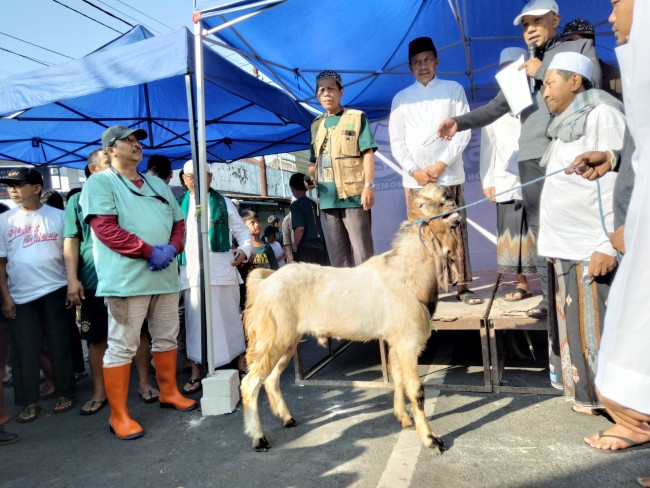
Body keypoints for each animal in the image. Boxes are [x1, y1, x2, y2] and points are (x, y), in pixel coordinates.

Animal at [240, 183, 458, 454]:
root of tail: (264, 283)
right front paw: (431, 439)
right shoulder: (407, 342)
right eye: (424, 203)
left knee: (270, 379)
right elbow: (416, 390)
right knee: (250, 384)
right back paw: (259, 438)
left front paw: (404, 418)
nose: (453, 203)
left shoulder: (396, 341)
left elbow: (397, 380)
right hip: (272, 337)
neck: (405, 274)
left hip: (288, 340)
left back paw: (287, 418)